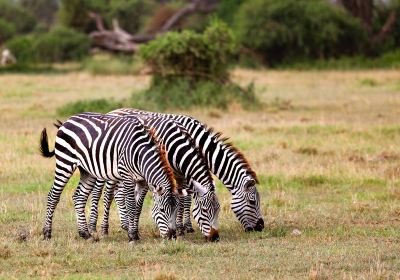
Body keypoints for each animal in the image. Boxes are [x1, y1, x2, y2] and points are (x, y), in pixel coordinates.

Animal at [39, 112, 183, 242]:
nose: (173, 237)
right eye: (162, 210)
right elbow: (131, 205)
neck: (140, 154)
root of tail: (68, 120)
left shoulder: (142, 181)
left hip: (87, 171)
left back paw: (86, 234)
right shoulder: (127, 176)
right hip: (65, 162)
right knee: (53, 196)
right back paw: (47, 233)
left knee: (79, 197)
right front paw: (132, 236)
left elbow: (138, 208)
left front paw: (135, 233)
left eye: (176, 209)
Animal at [90, 116, 222, 241]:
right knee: (105, 194)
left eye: (218, 210)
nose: (215, 238)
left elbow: (182, 200)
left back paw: (124, 225)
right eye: (204, 210)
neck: (176, 149)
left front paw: (179, 228)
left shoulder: (179, 176)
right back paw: (100, 228)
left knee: (117, 193)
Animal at [108, 109, 266, 232]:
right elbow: (182, 199)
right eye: (252, 202)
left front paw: (186, 226)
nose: (261, 227)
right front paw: (180, 227)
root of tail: (113, 111)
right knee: (116, 193)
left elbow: (186, 198)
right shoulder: (174, 171)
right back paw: (124, 225)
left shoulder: (185, 172)